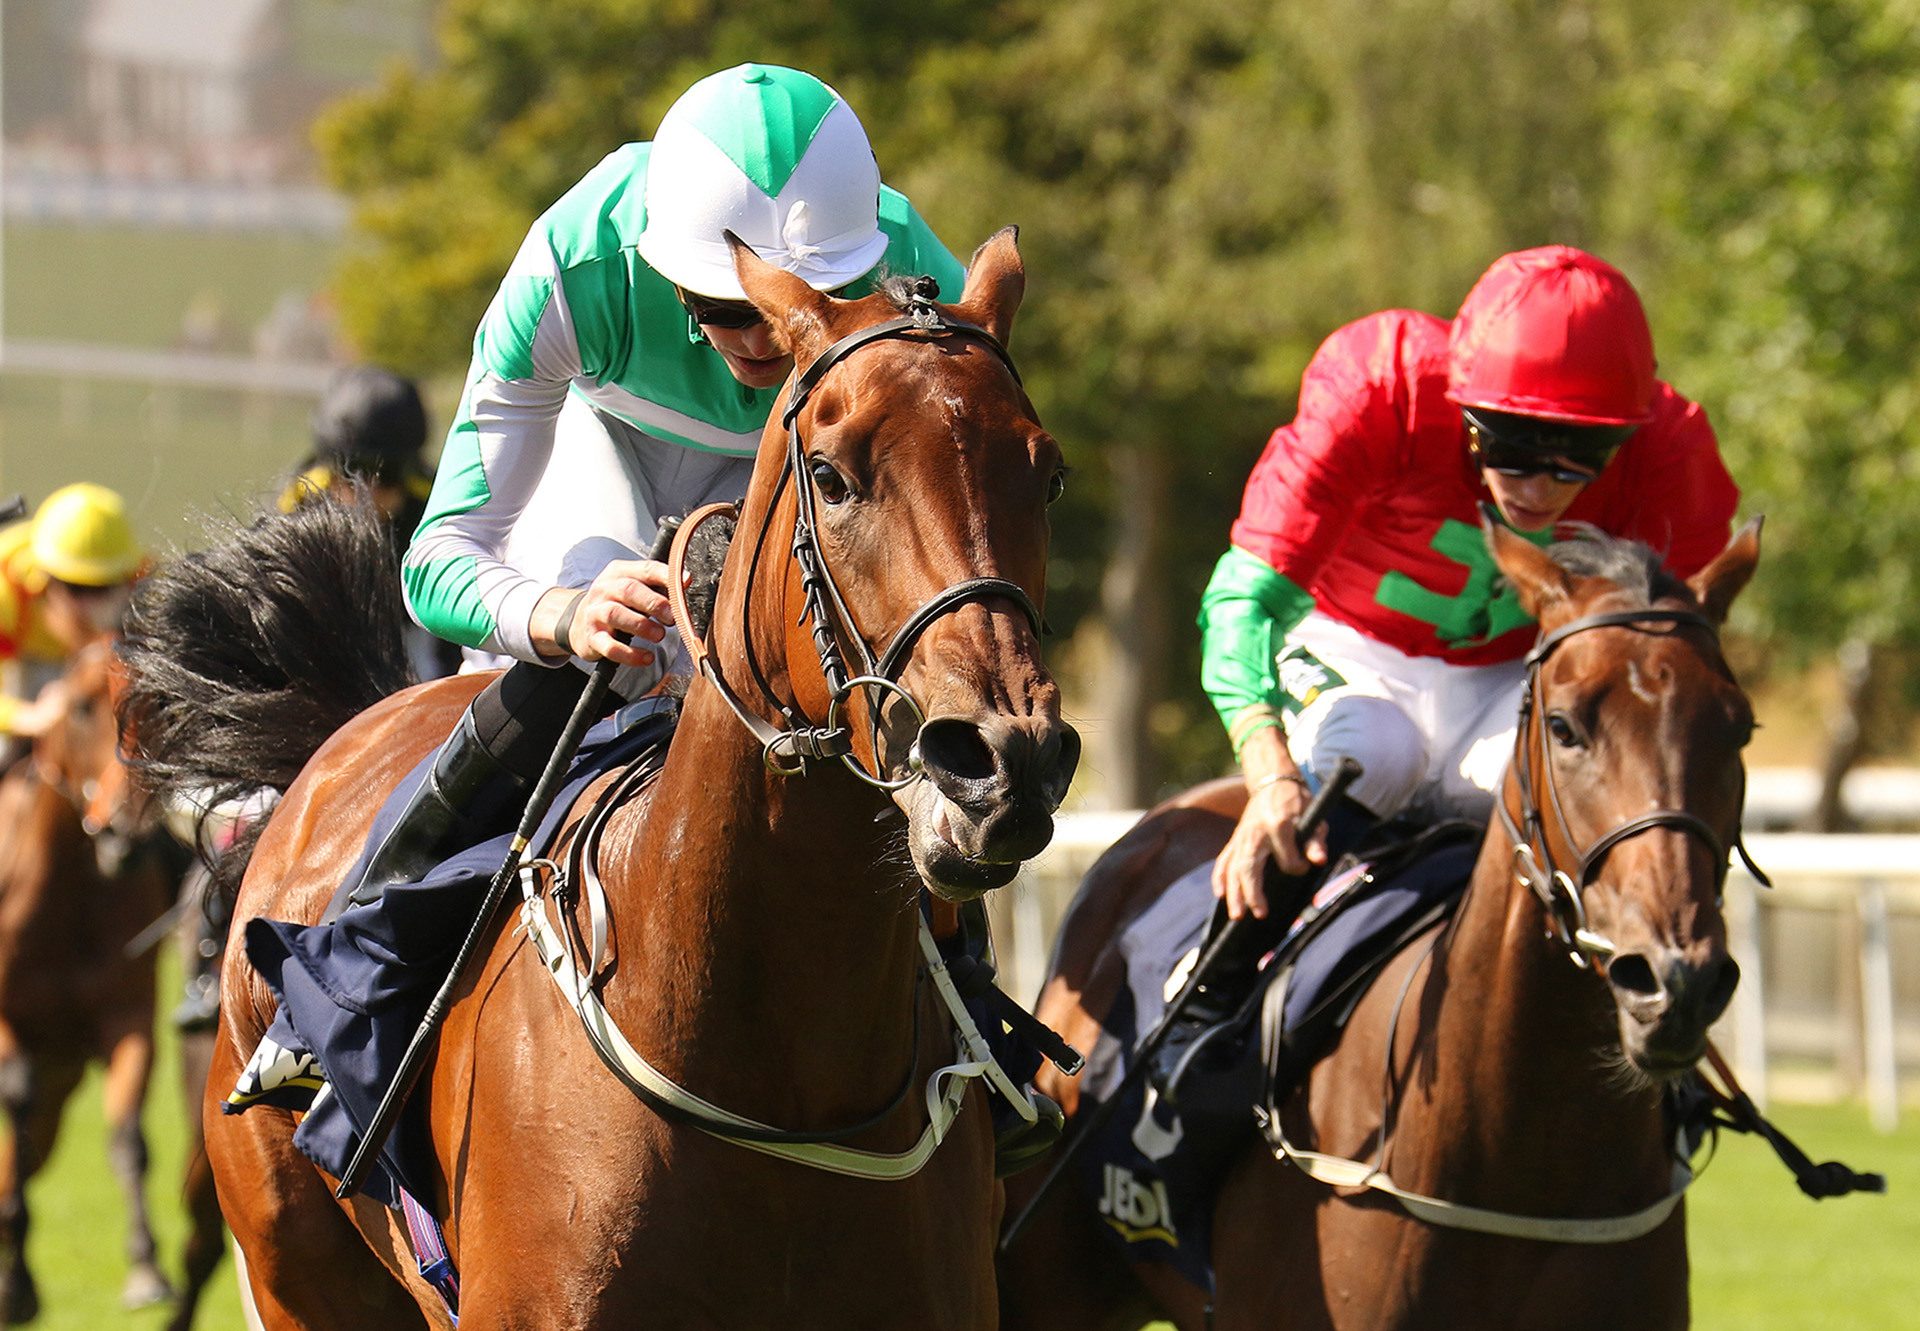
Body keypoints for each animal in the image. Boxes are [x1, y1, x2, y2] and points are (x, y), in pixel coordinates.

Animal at [0, 641, 173, 1321]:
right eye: (78, 708)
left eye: (159, 706)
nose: (129, 835)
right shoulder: (9, 1025)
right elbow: (15, 1109)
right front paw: (17, 1286)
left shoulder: (128, 1013)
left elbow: (130, 1139)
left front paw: (146, 1267)